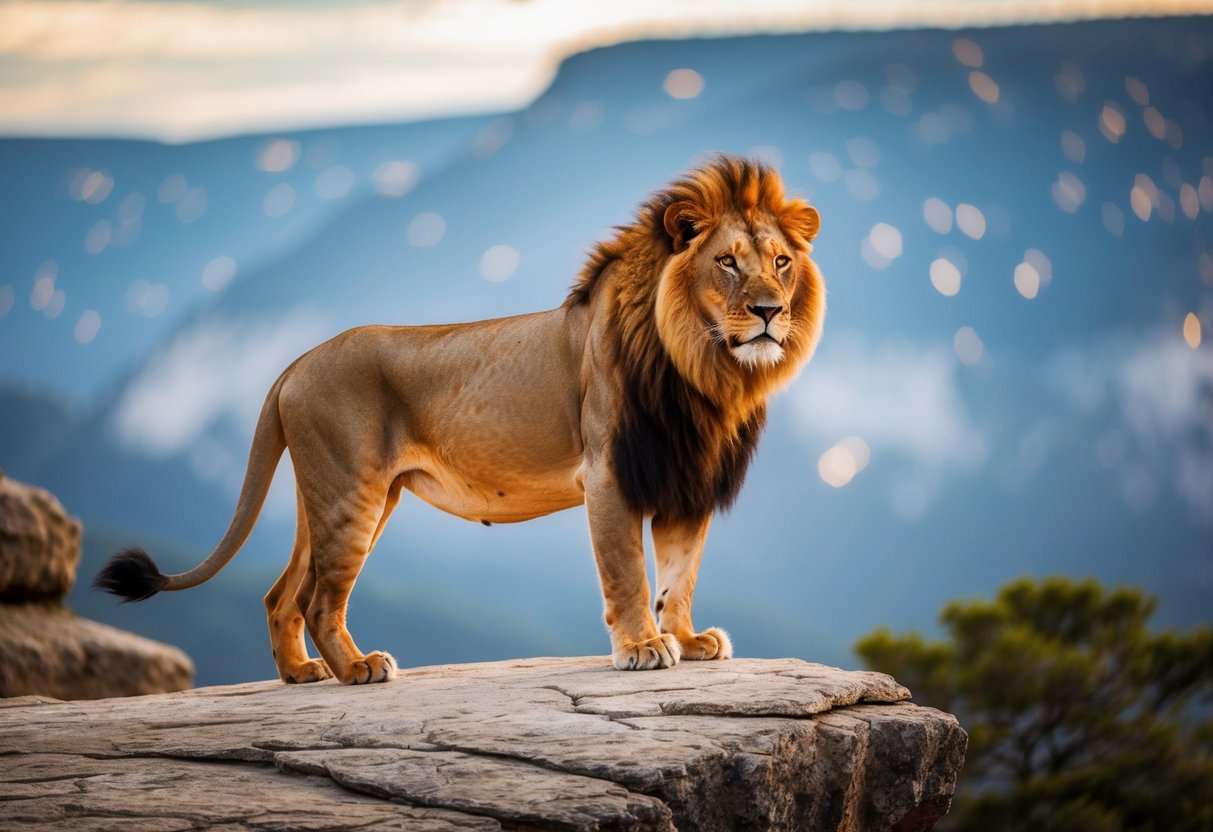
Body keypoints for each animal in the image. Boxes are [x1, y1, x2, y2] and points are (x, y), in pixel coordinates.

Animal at [99, 154, 829, 684]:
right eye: (726, 262)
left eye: (780, 262)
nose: (769, 311)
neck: (704, 371)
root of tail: (296, 361)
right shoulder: (609, 473)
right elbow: (628, 571)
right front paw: (643, 649)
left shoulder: (685, 477)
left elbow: (679, 574)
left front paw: (686, 638)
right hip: (353, 492)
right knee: (316, 597)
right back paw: (358, 669)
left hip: (328, 494)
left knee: (282, 593)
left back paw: (302, 674)